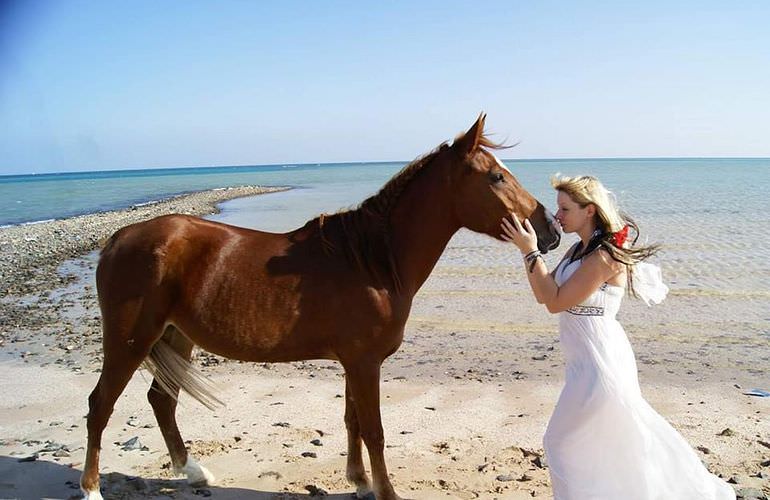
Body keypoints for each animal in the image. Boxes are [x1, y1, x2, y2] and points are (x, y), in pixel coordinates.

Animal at [79, 114, 560, 500]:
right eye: (496, 177)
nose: (550, 229)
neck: (372, 261)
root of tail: (117, 239)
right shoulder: (364, 362)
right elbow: (374, 430)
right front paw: (385, 491)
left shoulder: (354, 361)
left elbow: (351, 421)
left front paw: (359, 481)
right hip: (130, 341)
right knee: (101, 405)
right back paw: (92, 490)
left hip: (175, 335)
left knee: (161, 400)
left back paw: (192, 471)